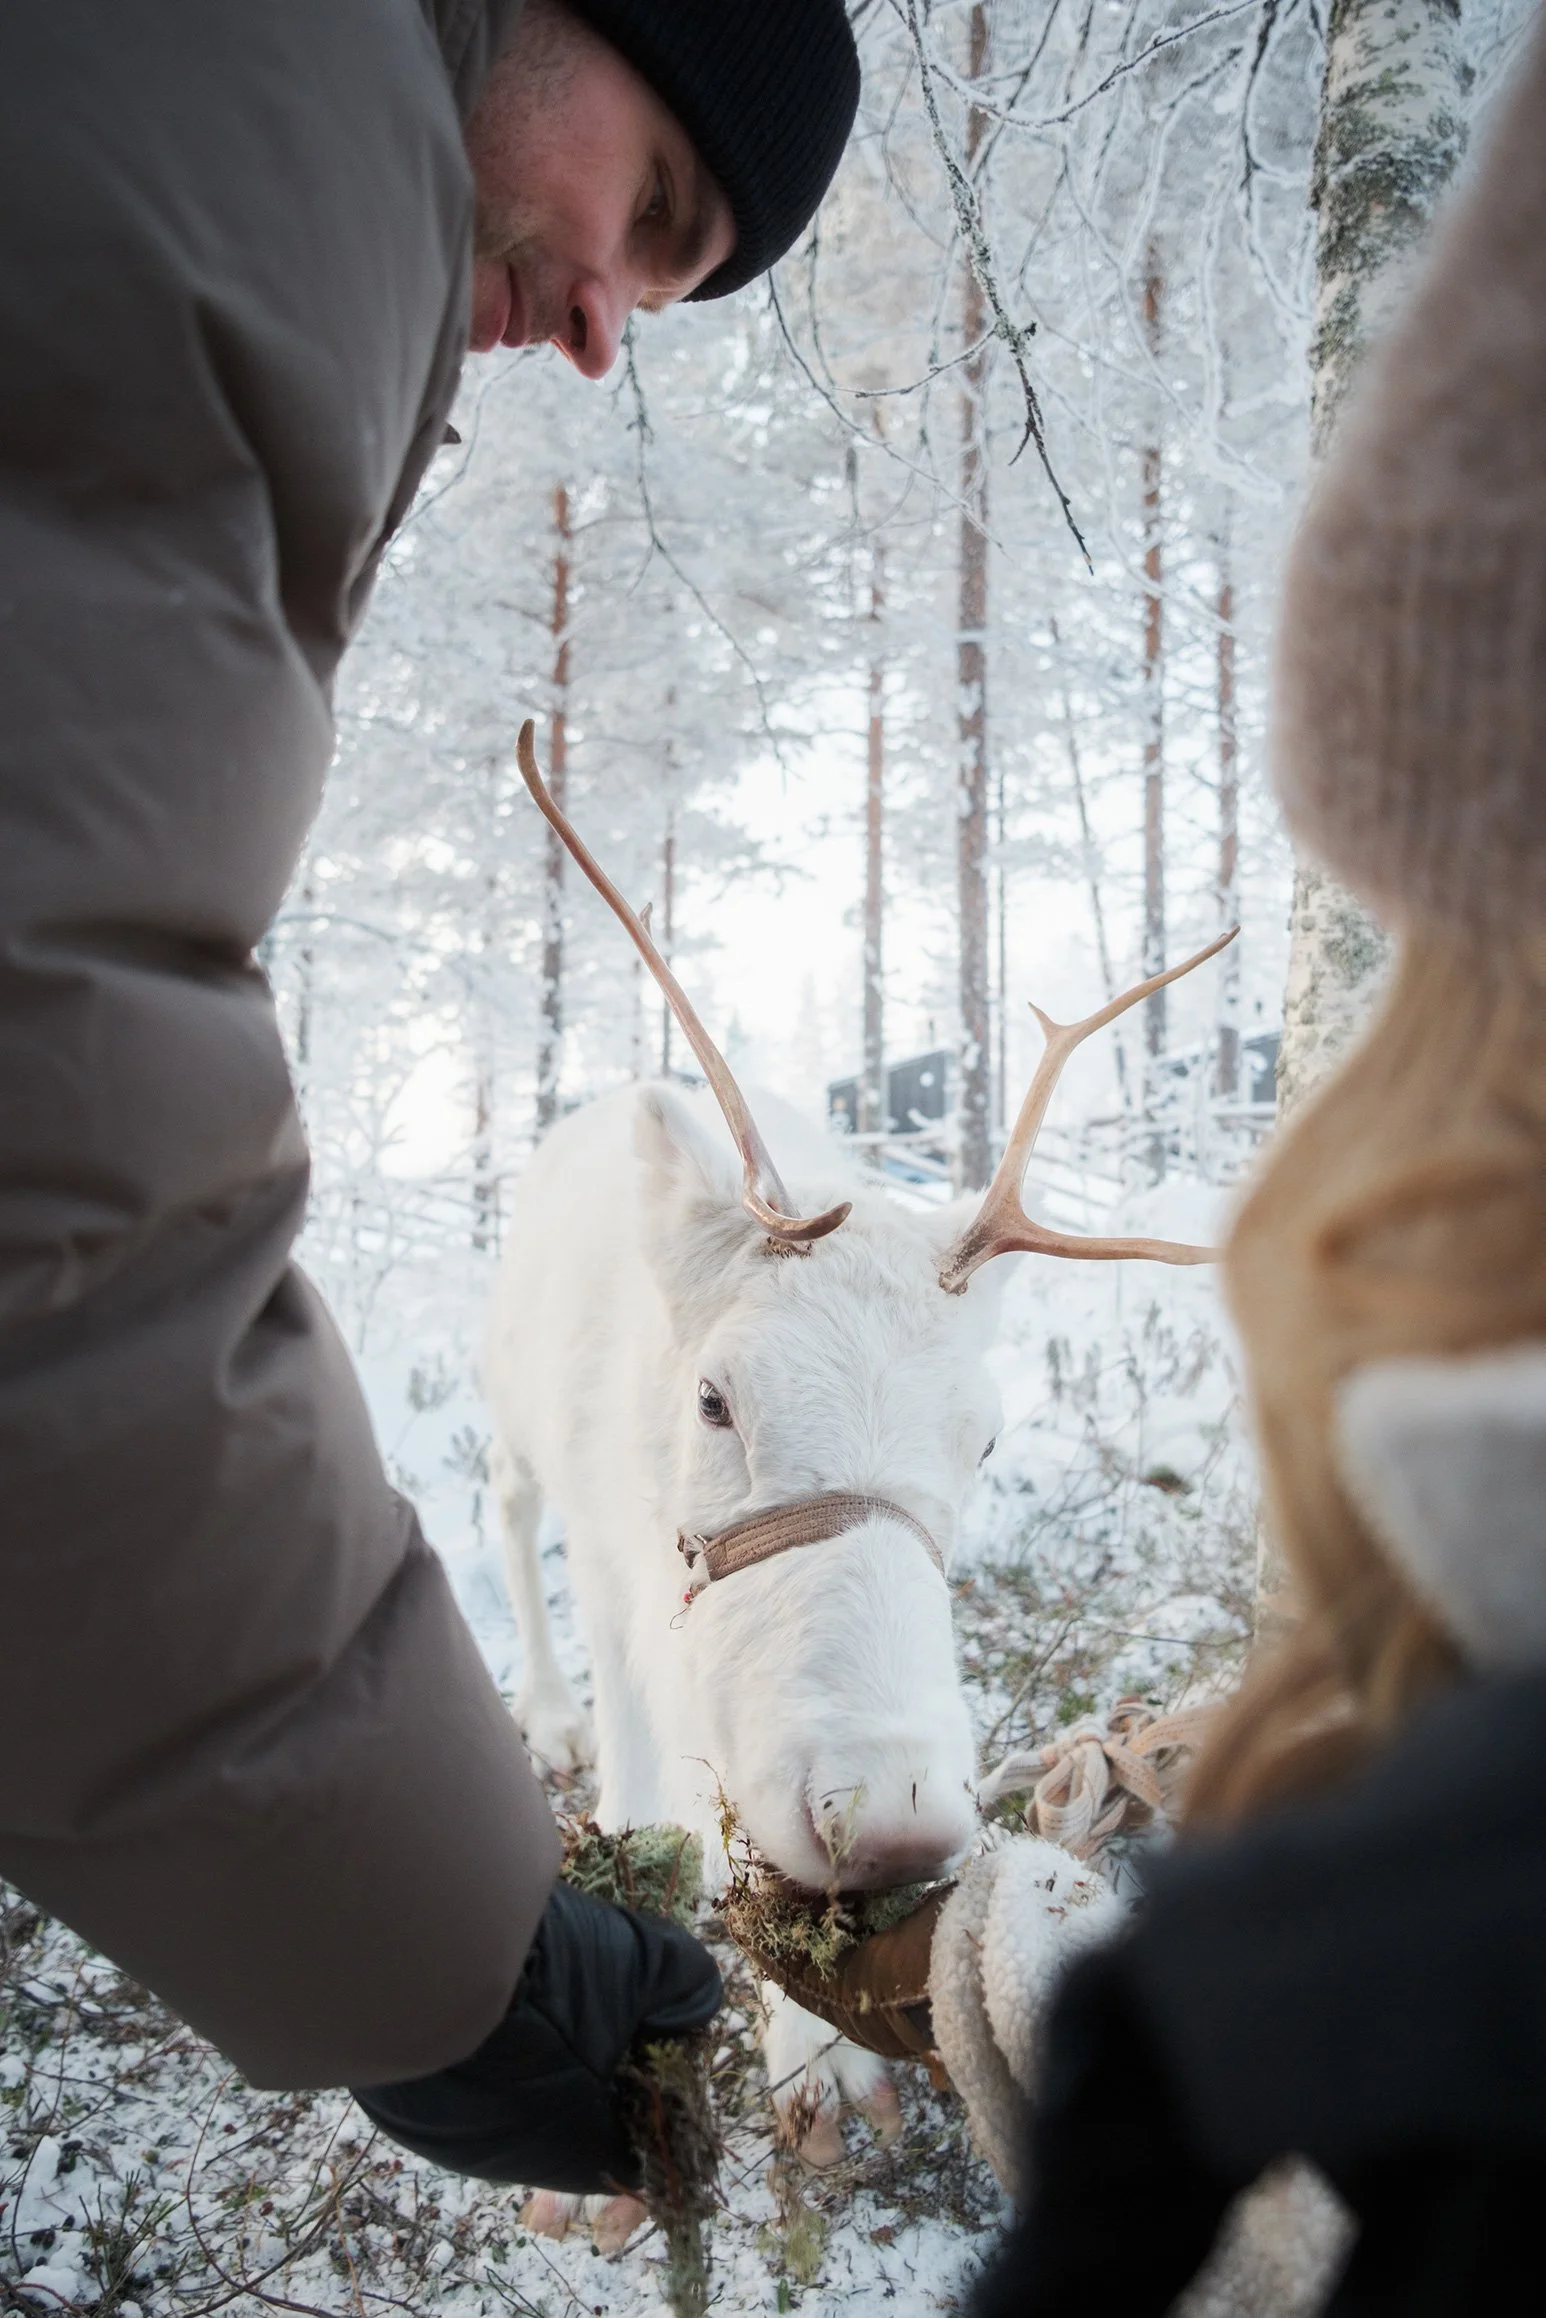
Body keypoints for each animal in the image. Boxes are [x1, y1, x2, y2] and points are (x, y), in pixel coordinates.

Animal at [484, 723, 1232, 2240]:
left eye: (985, 1439)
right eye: (716, 1397)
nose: (887, 1820)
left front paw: (818, 2060)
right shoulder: (619, 1564)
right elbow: (645, 1793)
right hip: (511, 1419)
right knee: (505, 1510)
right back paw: (546, 1711)